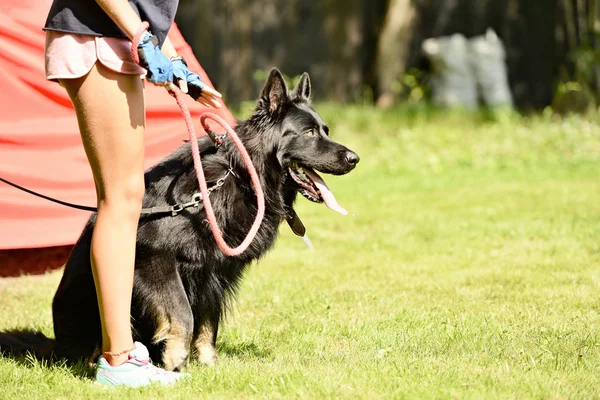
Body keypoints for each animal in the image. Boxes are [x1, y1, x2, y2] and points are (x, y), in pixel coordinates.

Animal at [0, 69, 358, 372]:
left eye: (325, 130)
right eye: (309, 133)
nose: (354, 158)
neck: (237, 175)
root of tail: (55, 344)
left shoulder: (213, 272)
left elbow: (208, 323)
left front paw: (209, 364)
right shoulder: (156, 259)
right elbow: (182, 313)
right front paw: (175, 361)